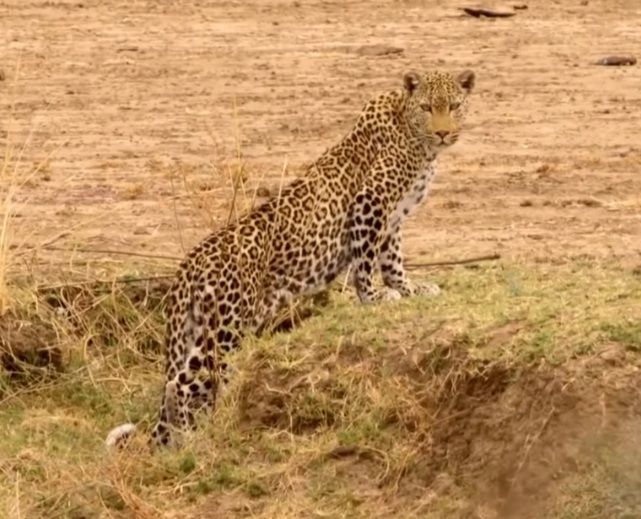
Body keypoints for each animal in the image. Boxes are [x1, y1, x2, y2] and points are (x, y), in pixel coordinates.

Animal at [105, 69, 476, 450]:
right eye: (427, 107)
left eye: (454, 106)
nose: (443, 132)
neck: (417, 139)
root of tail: (189, 263)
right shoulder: (370, 203)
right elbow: (367, 259)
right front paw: (374, 296)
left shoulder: (393, 217)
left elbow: (392, 259)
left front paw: (409, 289)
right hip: (227, 328)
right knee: (182, 383)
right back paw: (198, 436)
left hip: (204, 330)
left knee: (180, 382)